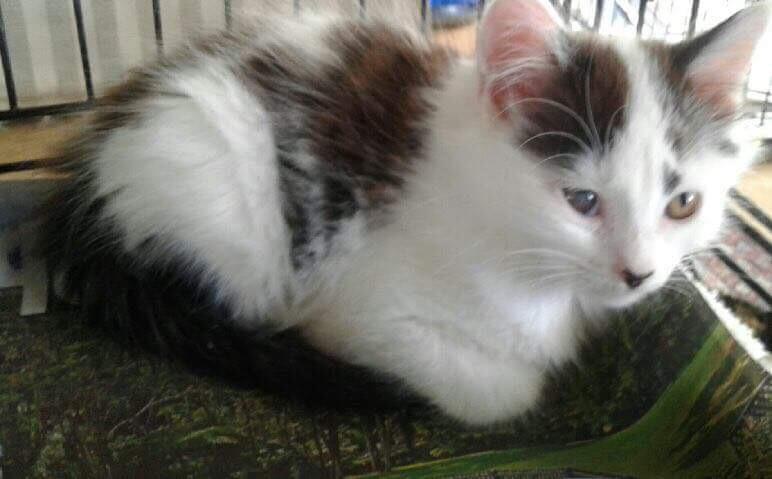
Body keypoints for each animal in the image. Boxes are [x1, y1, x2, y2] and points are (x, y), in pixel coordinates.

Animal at [43, 0, 770, 425]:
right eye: (582, 201)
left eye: (683, 203)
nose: (638, 274)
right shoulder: (365, 303)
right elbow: (504, 392)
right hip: (218, 197)